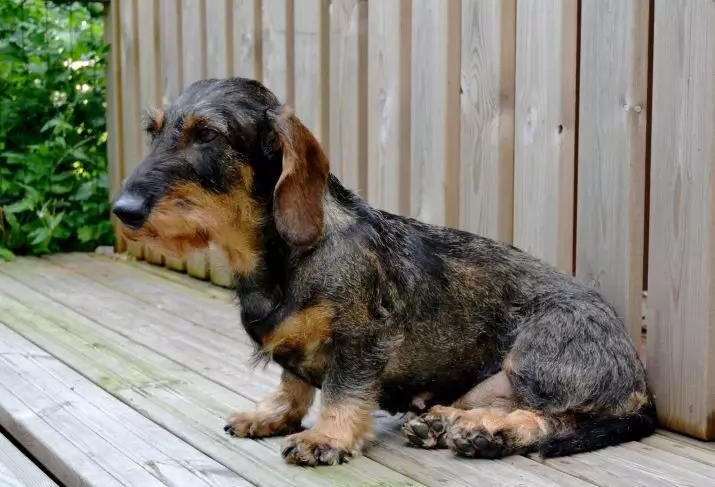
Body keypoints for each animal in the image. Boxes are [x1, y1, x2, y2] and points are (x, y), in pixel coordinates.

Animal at [114, 78, 656, 468]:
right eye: (154, 130)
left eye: (206, 134)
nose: (122, 211)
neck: (282, 259)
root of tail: (639, 380)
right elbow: (293, 383)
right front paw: (271, 415)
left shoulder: (364, 339)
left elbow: (342, 389)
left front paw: (327, 436)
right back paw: (444, 423)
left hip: (538, 356)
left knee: (557, 418)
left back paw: (489, 433)